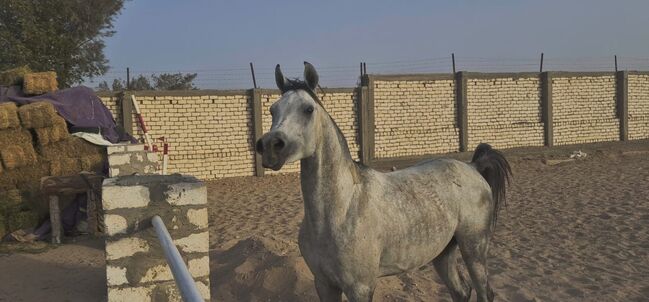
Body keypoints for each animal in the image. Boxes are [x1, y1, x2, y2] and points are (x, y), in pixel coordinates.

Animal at [253, 62, 512, 302]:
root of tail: (473, 167)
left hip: (474, 250)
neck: (340, 211)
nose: (270, 146)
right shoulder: (324, 284)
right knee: (461, 291)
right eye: (272, 110)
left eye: (308, 109)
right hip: (443, 253)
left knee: (484, 291)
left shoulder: (360, 288)